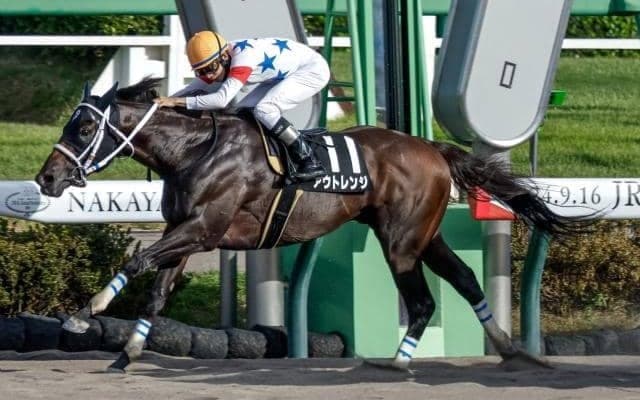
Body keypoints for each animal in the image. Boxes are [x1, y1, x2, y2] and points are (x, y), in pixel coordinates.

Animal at [36, 78, 577, 372]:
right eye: (69, 123)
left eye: (85, 127)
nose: (47, 177)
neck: (192, 151)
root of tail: (430, 147)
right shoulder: (185, 234)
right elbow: (157, 291)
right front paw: (127, 351)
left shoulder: (203, 229)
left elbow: (139, 260)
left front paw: (85, 314)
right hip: (425, 234)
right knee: (464, 278)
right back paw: (507, 349)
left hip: (402, 240)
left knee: (423, 300)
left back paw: (398, 362)